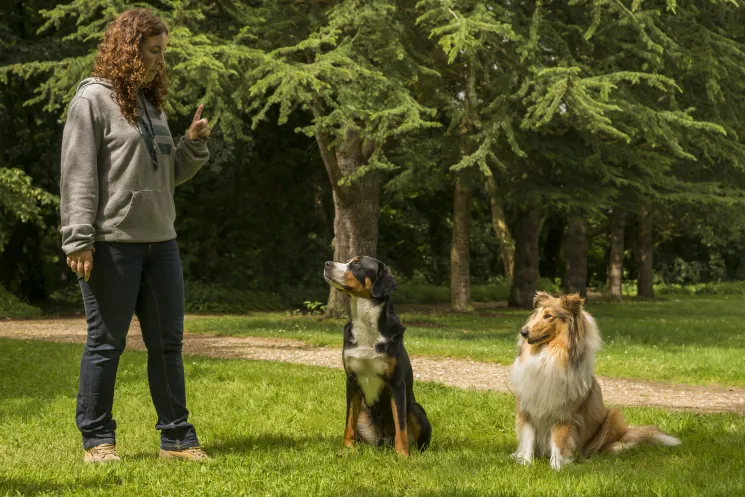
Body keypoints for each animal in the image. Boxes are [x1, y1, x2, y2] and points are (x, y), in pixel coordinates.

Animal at [508, 290, 676, 468]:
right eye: (537, 315)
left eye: (548, 316)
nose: (523, 332)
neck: (547, 355)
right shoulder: (527, 408)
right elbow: (528, 439)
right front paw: (525, 463)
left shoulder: (564, 412)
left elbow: (559, 441)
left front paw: (557, 467)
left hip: (612, 417)